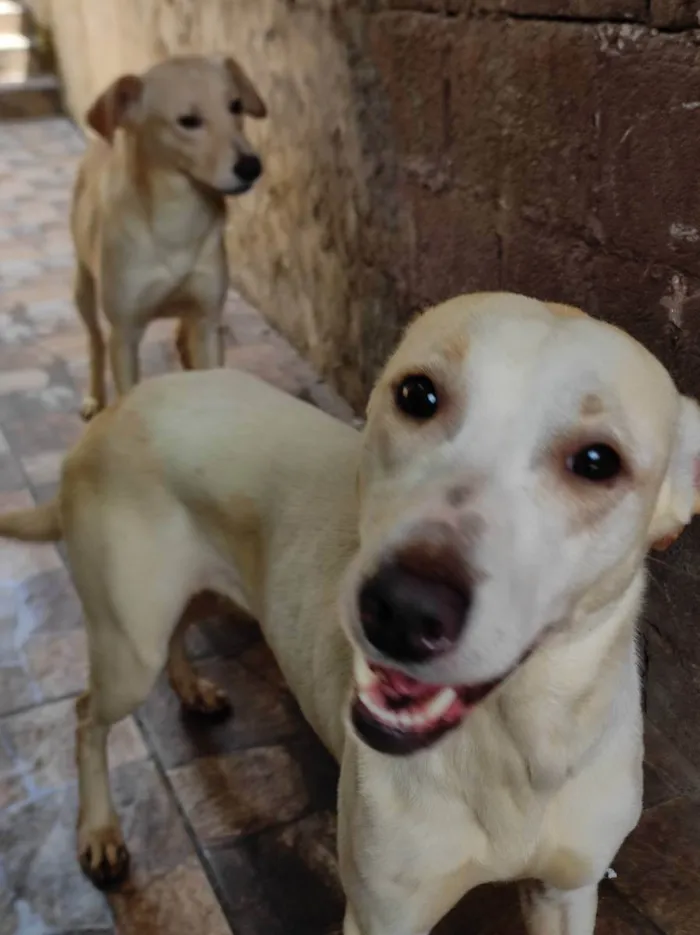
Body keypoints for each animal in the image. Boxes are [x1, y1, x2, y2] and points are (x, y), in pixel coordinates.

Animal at [1, 294, 700, 935]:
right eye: (417, 394)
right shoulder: (379, 916)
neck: (514, 747)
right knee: (86, 717)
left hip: (189, 598)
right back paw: (99, 833)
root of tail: (115, 411)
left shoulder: (566, 894)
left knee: (177, 640)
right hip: (129, 643)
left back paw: (193, 690)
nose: (401, 609)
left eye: (598, 461)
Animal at [71, 54, 266, 420]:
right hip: (83, 290)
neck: (177, 220)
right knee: (94, 340)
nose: (252, 166)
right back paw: (93, 396)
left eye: (235, 106)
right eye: (188, 121)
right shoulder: (125, 335)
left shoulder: (206, 320)